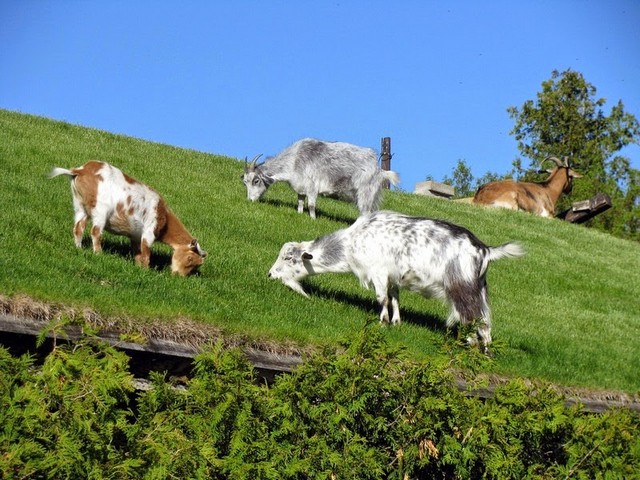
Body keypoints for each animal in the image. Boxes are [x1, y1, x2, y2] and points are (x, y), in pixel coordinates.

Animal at [49, 160, 208, 276]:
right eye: (189, 258)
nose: (178, 275)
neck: (164, 217)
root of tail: (80, 170)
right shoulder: (149, 231)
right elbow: (146, 253)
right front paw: (146, 270)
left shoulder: (136, 236)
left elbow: (137, 252)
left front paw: (137, 267)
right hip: (100, 210)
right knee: (95, 232)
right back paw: (98, 253)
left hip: (79, 206)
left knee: (78, 228)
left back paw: (79, 248)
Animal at [268, 210, 524, 348]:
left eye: (289, 258)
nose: (270, 274)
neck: (351, 243)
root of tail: (485, 249)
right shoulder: (393, 276)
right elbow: (395, 298)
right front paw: (396, 322)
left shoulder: (379, 272)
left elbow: (382, 298)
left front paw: (382, 323)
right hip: (479, 289)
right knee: (486, 322)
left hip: (462, 288)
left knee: (473, 319)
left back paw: (470, 346)